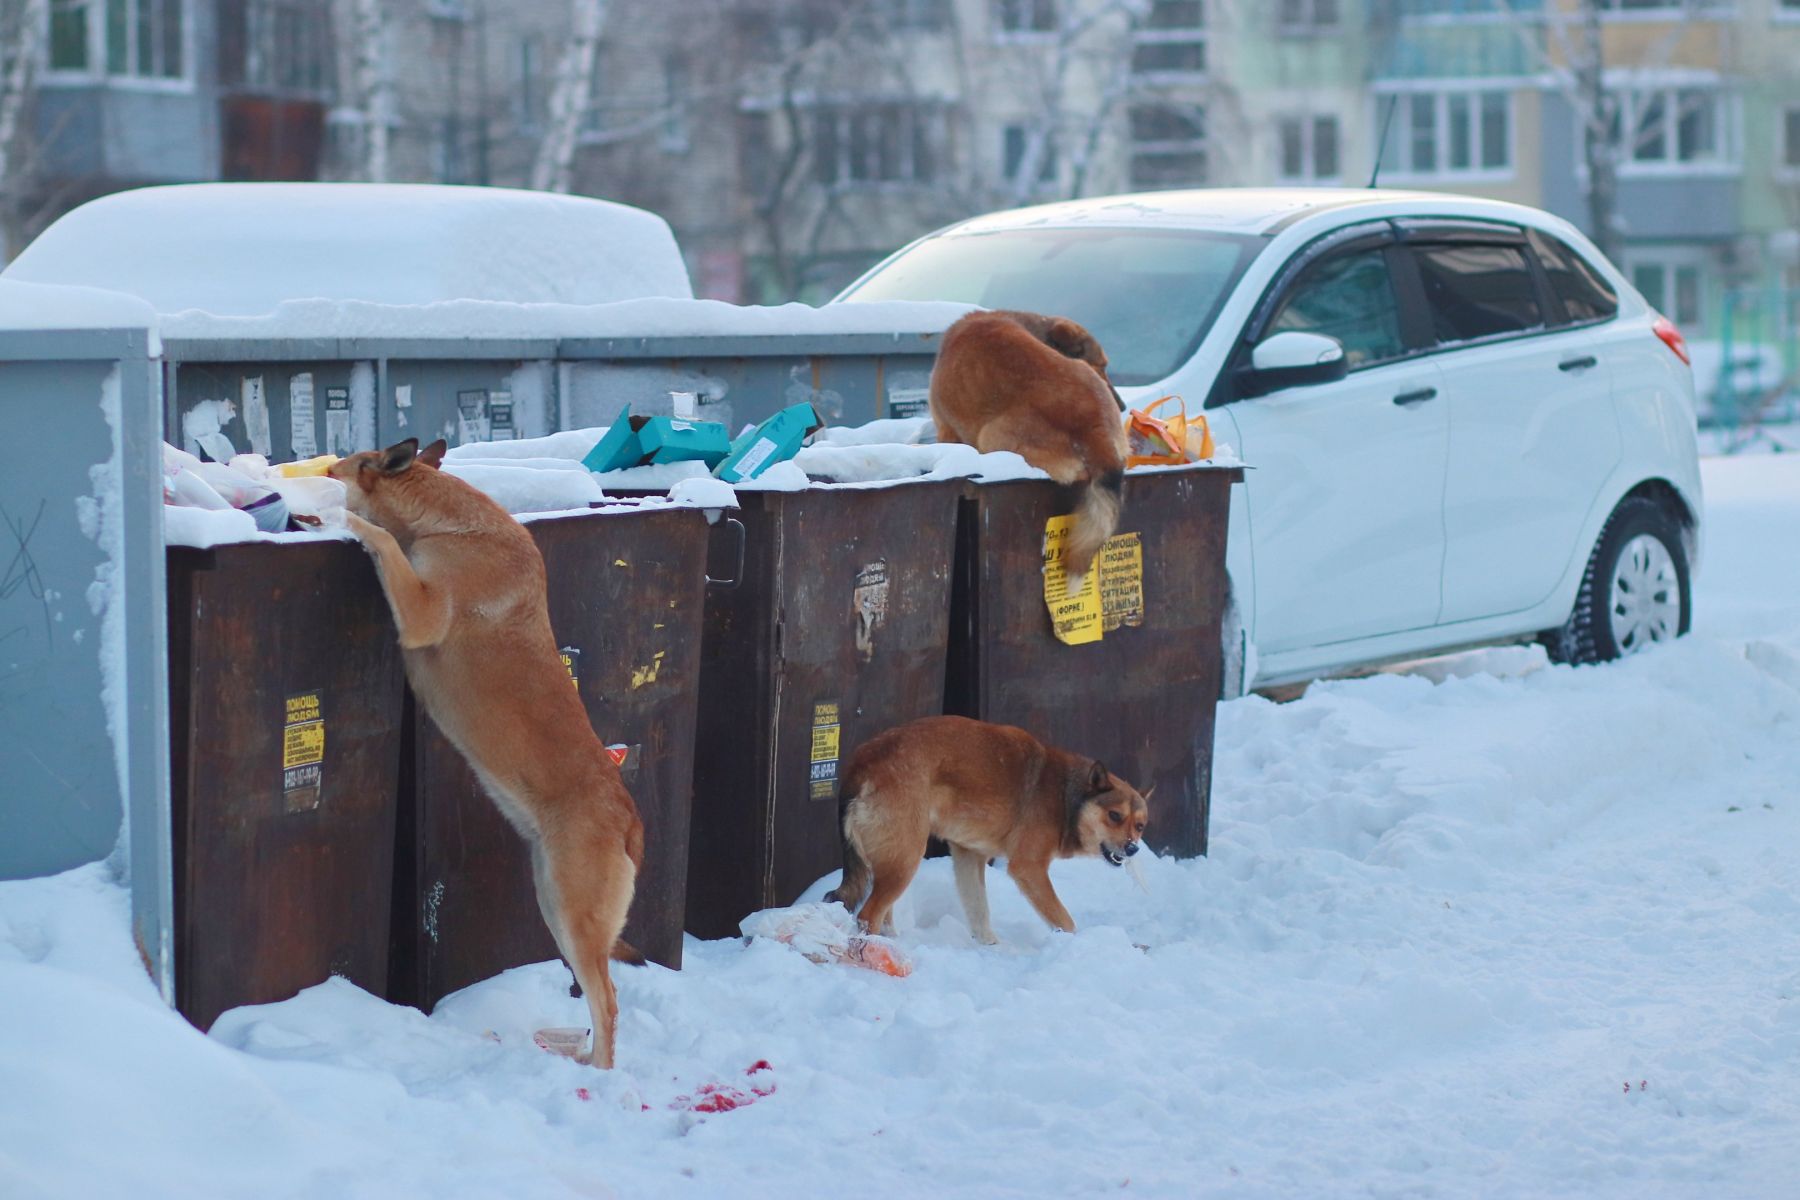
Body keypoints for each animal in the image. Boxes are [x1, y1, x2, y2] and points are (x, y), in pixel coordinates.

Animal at [331, 438, 640, 1072]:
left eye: (338, 467)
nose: (319, 471)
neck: (451, 523)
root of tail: (627, 817)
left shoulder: (422, 610)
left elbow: (383, 544)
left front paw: (338, 520)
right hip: (553, 905)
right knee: (597, 996)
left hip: (572, 916)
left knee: (608, 1001)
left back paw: (598, 1076)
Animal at [828, 719, 1152, 942]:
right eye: (1114, 815)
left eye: (1140, 826)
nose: (1133, 848)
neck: (1065, 796)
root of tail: (862, 763)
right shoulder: (1029, 869)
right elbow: (1064, 919)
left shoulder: (969, 856)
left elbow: (979, 912)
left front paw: (993, 947)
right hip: (906, 858)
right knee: (868, 915)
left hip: (895, 860)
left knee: (883, 913)